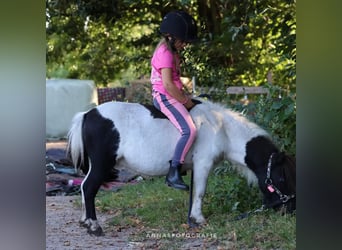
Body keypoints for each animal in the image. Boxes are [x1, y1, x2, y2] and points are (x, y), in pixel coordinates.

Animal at [67, 98, 294, 235]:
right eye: (282, 177)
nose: (289, 210)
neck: (220, 127)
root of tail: (88, 114)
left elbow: (194, 192)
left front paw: (192, 218)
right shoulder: (203, 164)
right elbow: (200, 192)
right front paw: (199, 219)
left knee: (84, 188)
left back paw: (85, 220)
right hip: (101, 165)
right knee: (88, 188)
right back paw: (93, 225)